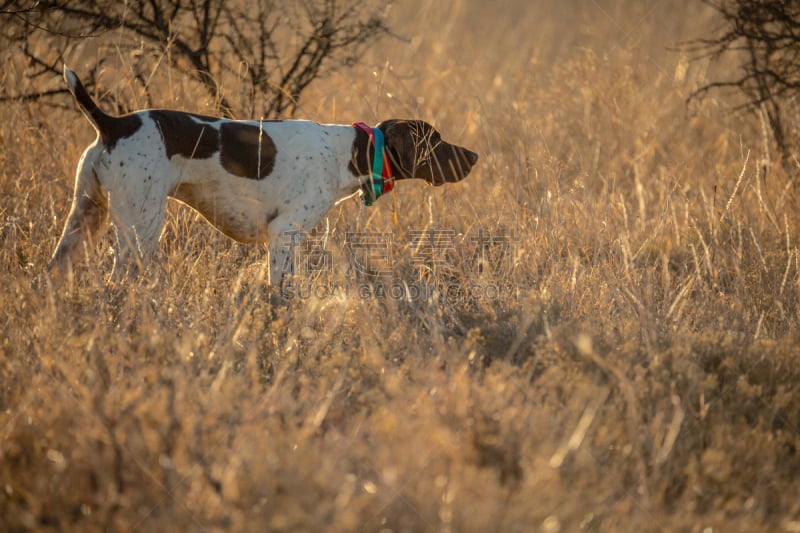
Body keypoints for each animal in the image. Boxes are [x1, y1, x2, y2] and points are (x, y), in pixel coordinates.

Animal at [50, 67, 478, 290]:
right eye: (436, 141)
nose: (474, 156)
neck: (350, 152)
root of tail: (113, 124)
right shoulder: (284, 232)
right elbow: (281, 291)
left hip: (82, 219)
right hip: (141, 227)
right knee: (119, 278)